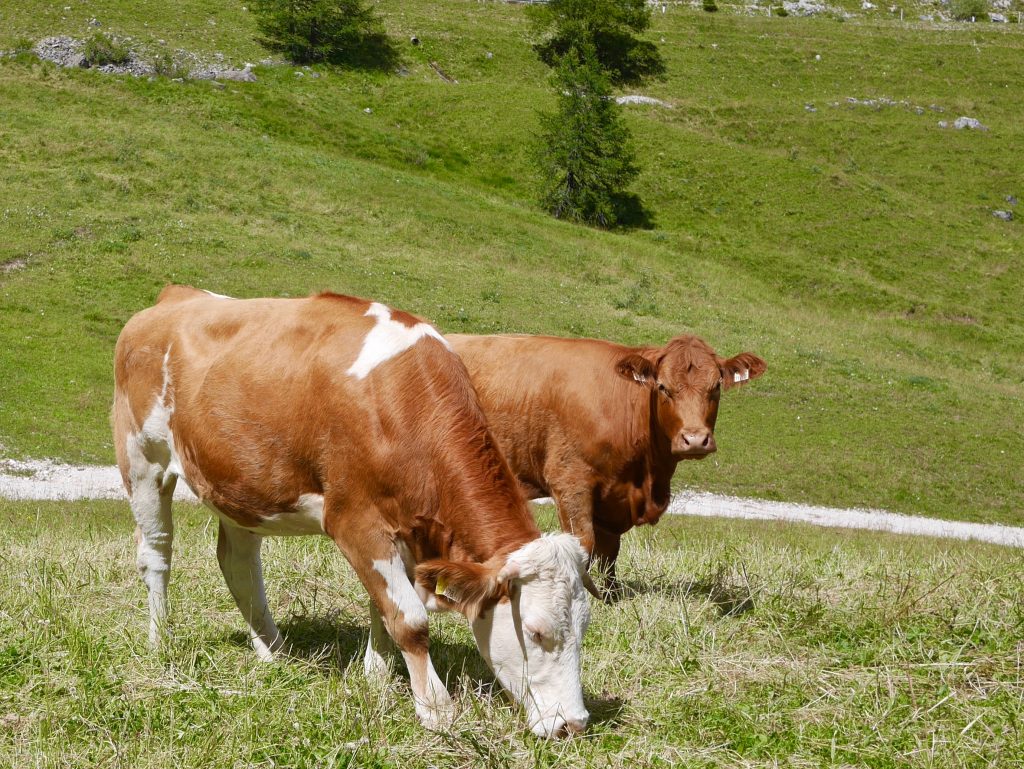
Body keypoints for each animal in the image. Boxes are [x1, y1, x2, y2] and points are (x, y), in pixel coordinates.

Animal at [112, 286, 595, 738]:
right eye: (535, 632)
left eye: (585, 629)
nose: (573, 725)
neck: (401, 403)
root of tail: (177, 296)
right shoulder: (354, 520)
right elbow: (409, 619)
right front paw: (436, 709)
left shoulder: (403, 527)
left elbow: (384, 607)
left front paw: (376, 677)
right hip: (142, 459)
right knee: (157, 554)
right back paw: (161, 640)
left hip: (239, 484)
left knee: (239, 564)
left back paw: (273, 650)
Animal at [448, 333, 766, 596]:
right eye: (663, 387)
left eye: (716, 387)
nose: (696, 439)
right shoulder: (570, 481)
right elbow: (584, 544)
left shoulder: (613, 498)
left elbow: (610, 551)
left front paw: (610, 596)